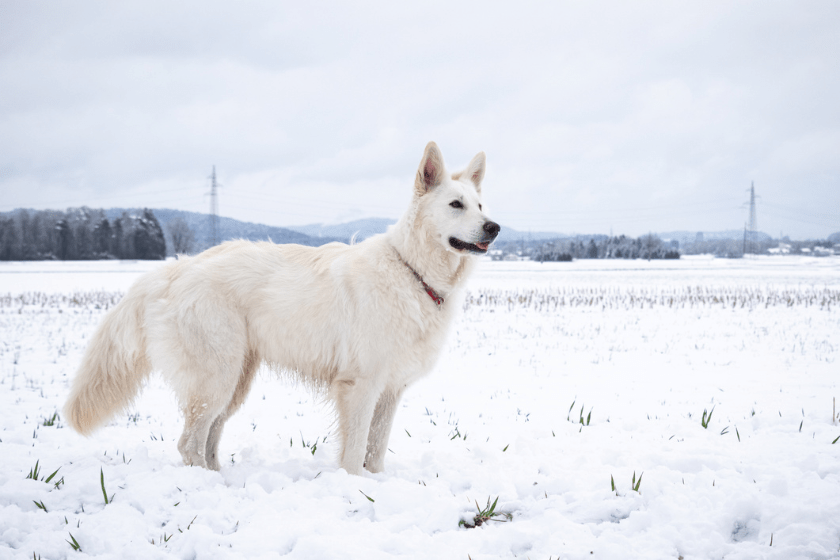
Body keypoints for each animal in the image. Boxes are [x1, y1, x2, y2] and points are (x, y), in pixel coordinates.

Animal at [67, 142, 498, 474]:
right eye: (455, 205)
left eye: (480, 205)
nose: (494, 227)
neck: (411, 270)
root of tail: (175, 268)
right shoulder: (360, 386)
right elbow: (355, 452)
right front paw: (355, 488)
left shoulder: (390, 391)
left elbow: (375, 452)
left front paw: (376, 484)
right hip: (216, 378)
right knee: (189, 443)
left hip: (235, 382)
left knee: (208, 439)